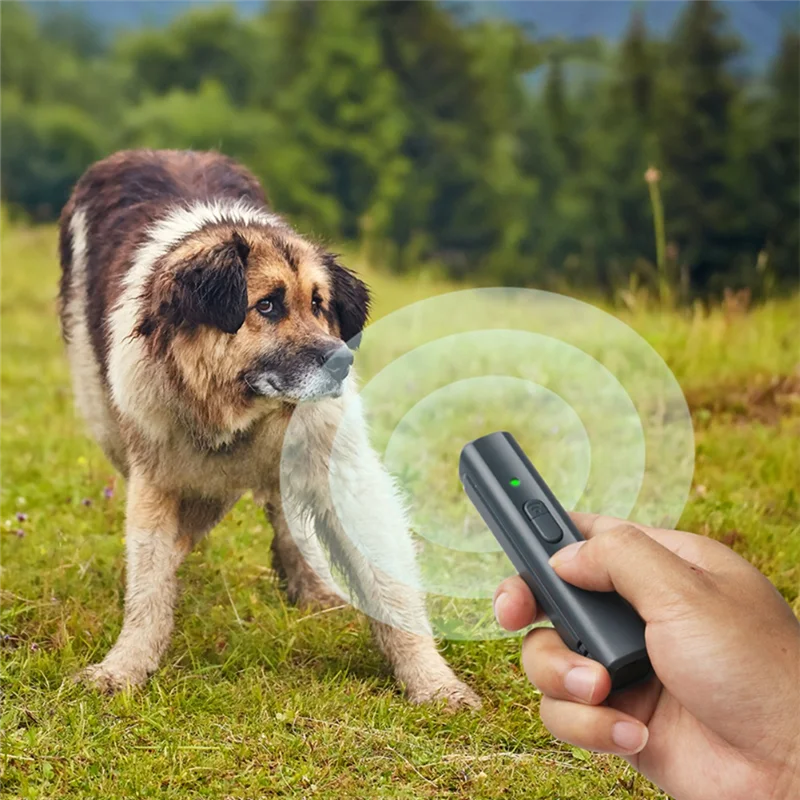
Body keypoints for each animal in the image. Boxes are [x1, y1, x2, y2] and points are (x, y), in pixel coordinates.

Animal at [57, 147, 482, 708]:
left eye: (319, 305)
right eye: (267, 305)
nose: (343, 361)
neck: (241, 413)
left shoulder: (341, 466)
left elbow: (387, 583)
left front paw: (434, 682)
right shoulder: (155, 477)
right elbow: (148, 582)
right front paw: (125, 666)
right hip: (102, 413)